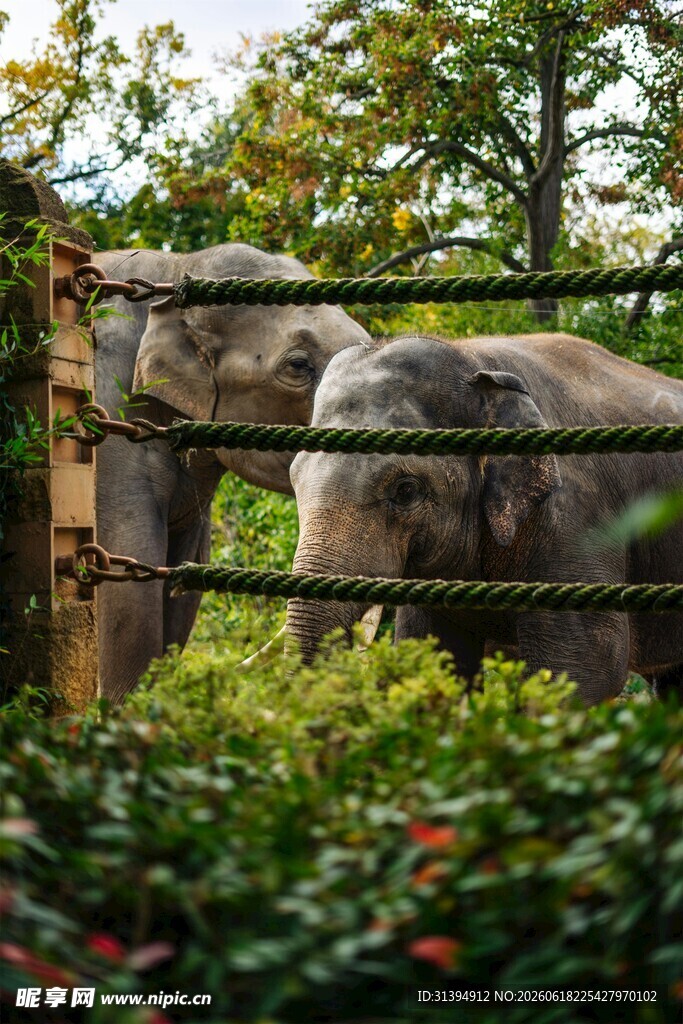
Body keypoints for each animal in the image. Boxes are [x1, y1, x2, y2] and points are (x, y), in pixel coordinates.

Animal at [285, 333, 683, 704]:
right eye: (294, 477)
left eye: (406, 490)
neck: (474, 359)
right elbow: (437, 660)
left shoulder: (578, 519)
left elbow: (583, 670)